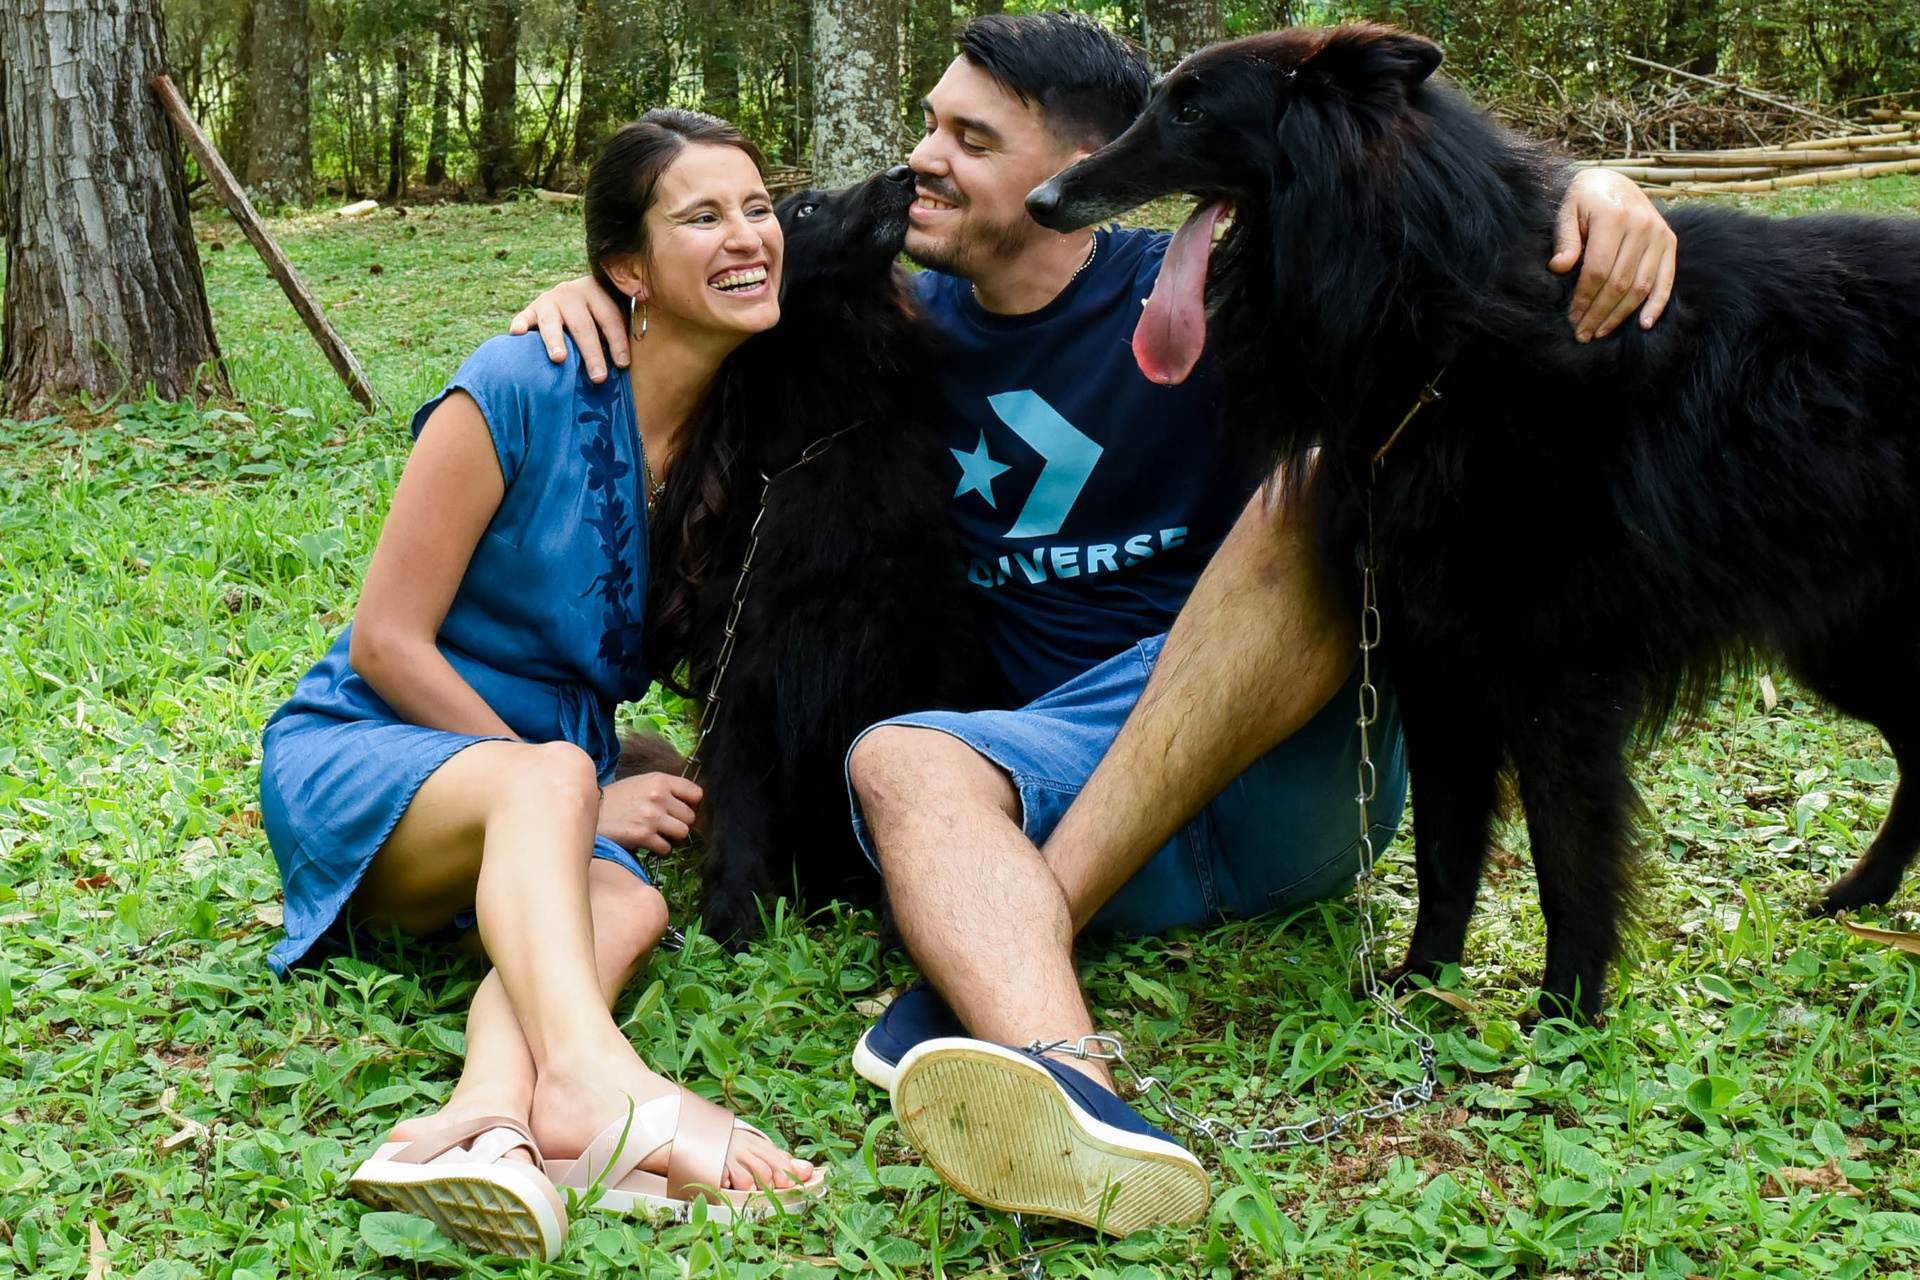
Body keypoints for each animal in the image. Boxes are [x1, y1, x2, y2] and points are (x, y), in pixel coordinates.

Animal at [640, 166, 986, 948]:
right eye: (804, 208)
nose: (906, 173)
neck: (820, 435)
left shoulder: (918, 648)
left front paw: (896, 923)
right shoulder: (738, 666)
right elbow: (736, 804)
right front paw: (730, 921)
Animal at [1027, 24, 1920, 1018]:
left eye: (1188, 110)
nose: (1039, 202)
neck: (1447, 321)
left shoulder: (1556, 678)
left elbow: (1566, 857)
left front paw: (1565, 1015)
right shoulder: (1433, 656)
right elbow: (1445, 849)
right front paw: (1422, 987)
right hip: (1847, 647)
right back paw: (1861, 895)